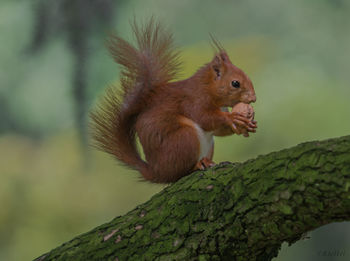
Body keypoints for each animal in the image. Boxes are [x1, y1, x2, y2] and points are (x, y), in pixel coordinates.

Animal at [89, 19, 256, 183]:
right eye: (235, 83)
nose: (254, 98)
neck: (206, 88)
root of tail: (157, 172)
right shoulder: (193, 101)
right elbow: (205, 118)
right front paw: (232, 118)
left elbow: (218, 130)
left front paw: (247, 124)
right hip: (184, 139)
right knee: (178, 173)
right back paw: (196, 165)